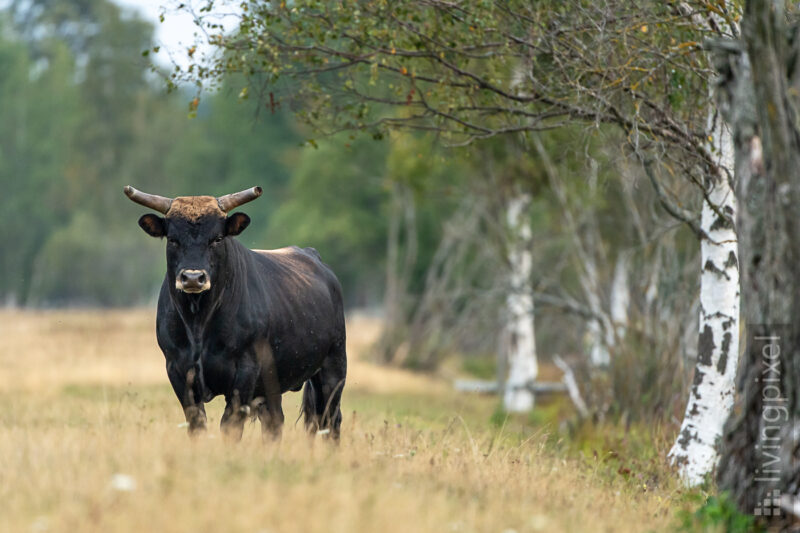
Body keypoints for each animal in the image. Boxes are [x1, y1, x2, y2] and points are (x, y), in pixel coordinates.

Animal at [125, 185, 346, 438]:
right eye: (172, 239)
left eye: (217, 238)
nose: (193, 278)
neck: (199, 323)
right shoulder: (177, 370)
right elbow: (197, 424)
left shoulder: (245, 372)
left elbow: (230, 425)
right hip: (273, 383)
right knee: (275, 422)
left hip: (333, 369)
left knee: (330, 420)